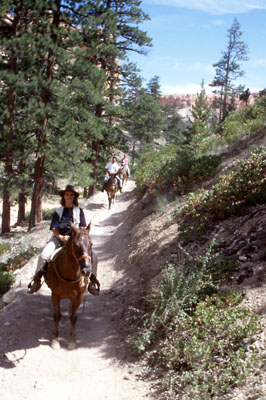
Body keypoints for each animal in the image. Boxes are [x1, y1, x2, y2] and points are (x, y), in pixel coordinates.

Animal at [44, 222, 100, 350]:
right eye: (75, 245)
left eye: (91, 244)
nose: (86, 270)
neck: (69, 275)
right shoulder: (55, 295)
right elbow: (57, 316)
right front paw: (55, 340)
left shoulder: (79, 297)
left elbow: (74, 318)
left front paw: (72, 341)